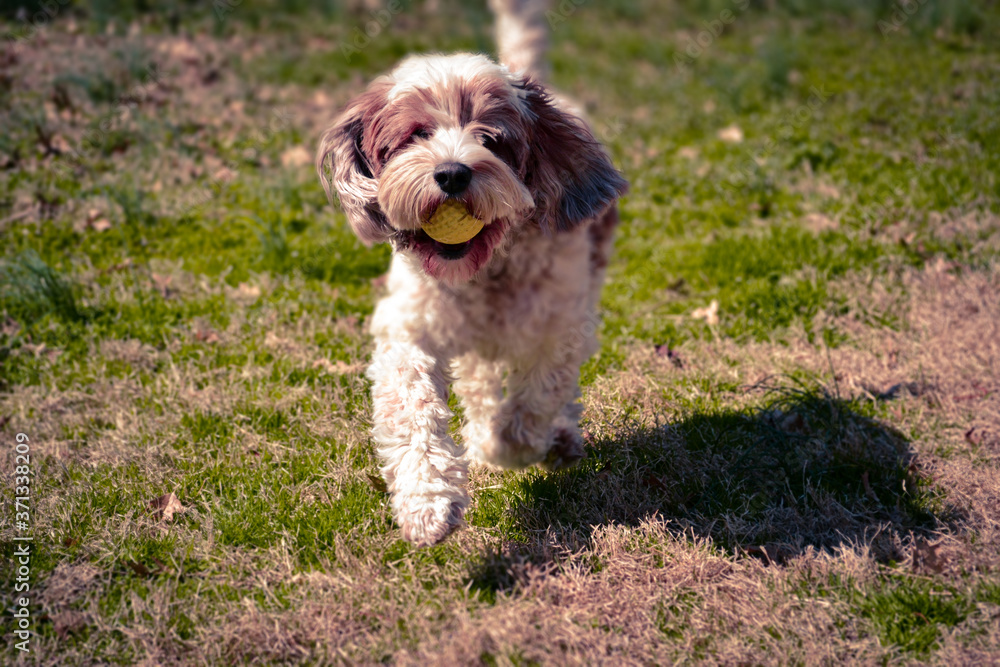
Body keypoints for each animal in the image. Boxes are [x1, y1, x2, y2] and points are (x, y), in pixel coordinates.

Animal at [314, 1, 624, 548]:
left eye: (492, 140)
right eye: (415, 135)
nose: (452, 173)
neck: (486, 273)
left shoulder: (560, 327)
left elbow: (536, 398)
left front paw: (511, 447)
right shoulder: (409, 329)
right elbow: (412, 407)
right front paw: (427, 503)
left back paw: (556, 438)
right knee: (478, 383)